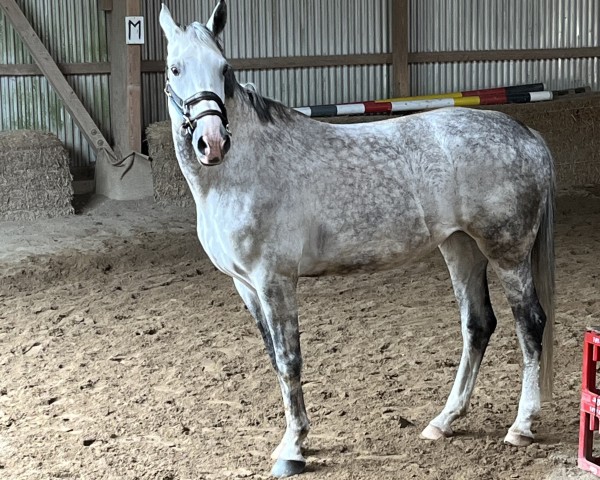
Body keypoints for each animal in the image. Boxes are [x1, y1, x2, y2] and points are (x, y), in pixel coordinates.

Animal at [158, 2, 552, 476]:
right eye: (175, 68)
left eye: (224, 68)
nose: (212, 142)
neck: (241, 172)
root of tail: (527, 135)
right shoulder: (246, 286)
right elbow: (274, 357)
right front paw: (291, 440)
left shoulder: (275, 280)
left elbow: (289, 360)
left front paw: (294, 449)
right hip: (461, 247)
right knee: (478, 325)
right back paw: (444, 420)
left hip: (508, 253)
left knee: (529, 324)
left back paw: (522, 425)